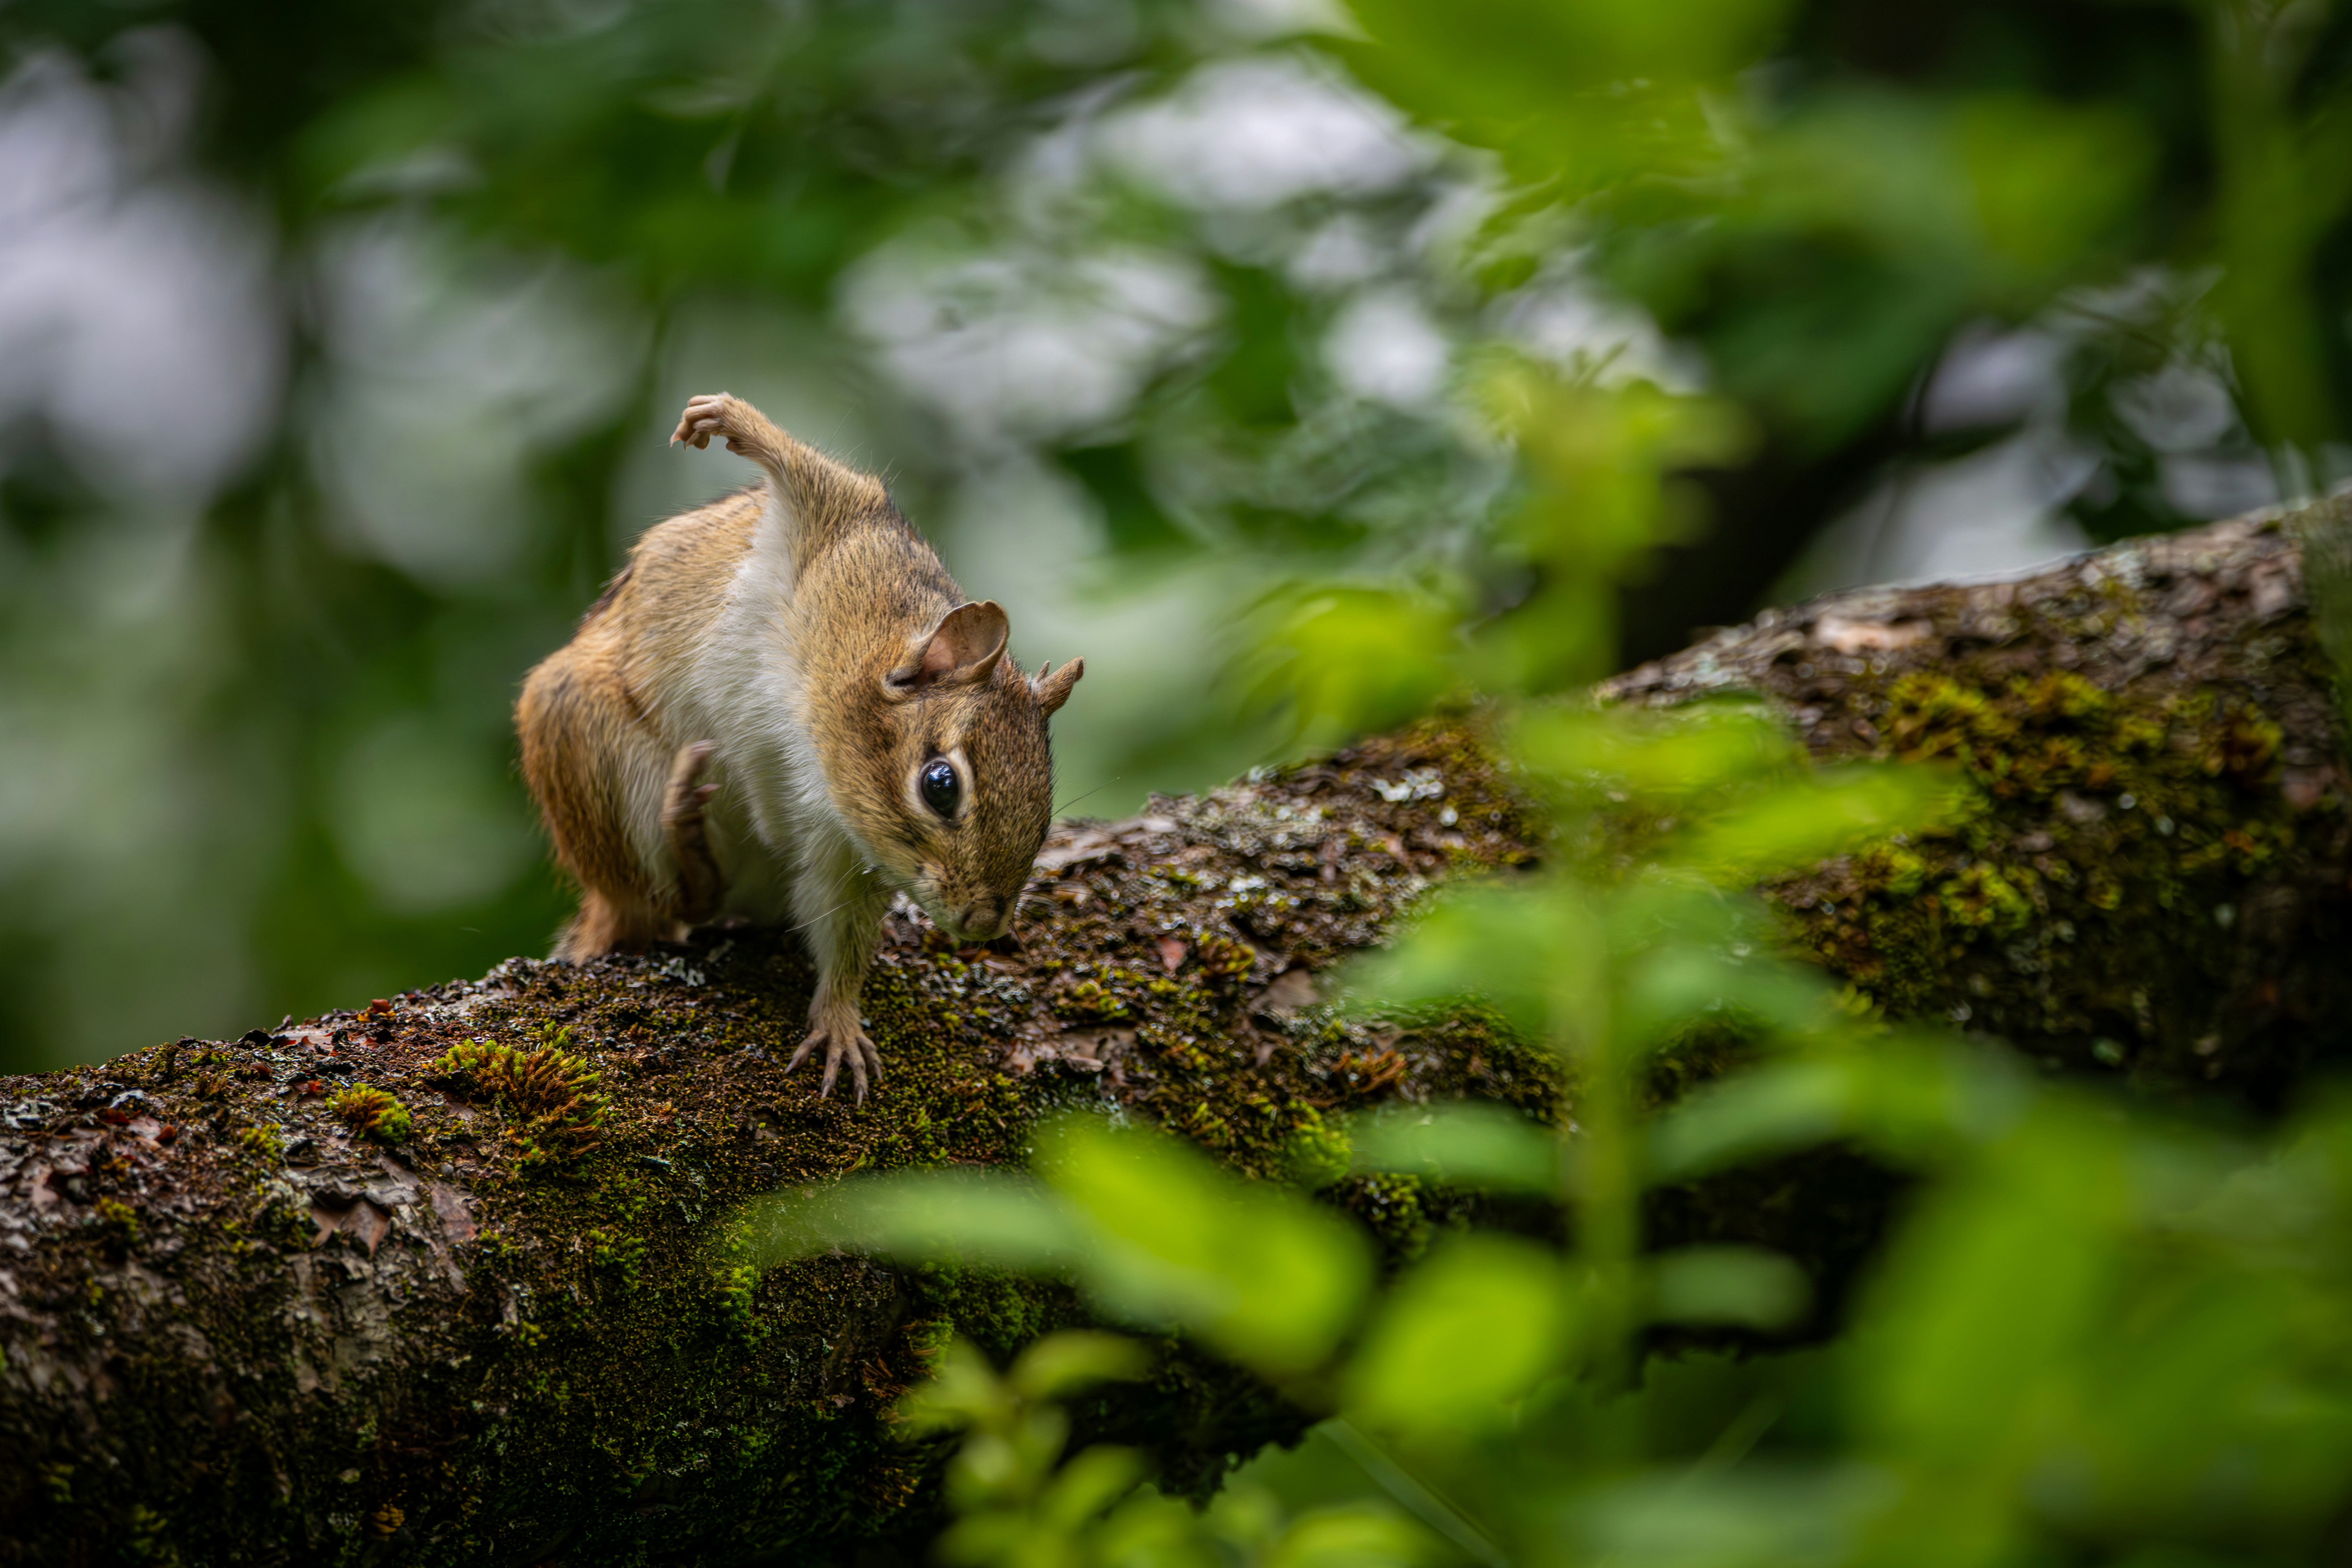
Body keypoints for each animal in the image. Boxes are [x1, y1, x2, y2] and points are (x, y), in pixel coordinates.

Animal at [514, 393, 1084, 1101]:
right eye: (940, 785)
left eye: (1046, 813)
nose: (984, 924)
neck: (806, 737)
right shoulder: (835, 523)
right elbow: (806, 470)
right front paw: (732, 421)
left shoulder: (844, 854)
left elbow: (841, 936)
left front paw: (838, 1021)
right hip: (582, 737)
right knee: (667, 903)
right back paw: (683, 824)